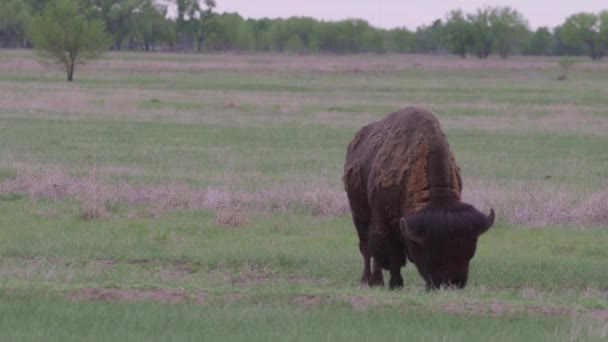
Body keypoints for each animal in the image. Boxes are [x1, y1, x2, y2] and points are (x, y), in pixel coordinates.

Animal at [342, 106, 494, 288]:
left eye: (470, 251)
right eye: (431, 253)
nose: (450, 283)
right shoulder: (386, 225)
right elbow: (393, 256)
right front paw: (396, 284)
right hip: (359, 215)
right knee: (366, 248)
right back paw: (370, 281)